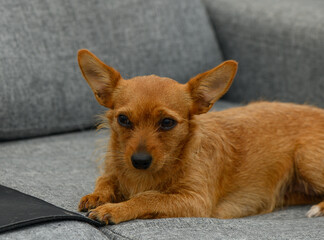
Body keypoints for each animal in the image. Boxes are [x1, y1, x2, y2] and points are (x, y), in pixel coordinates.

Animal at [76, 49, 324, 225]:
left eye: (167, 122)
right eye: (123, 120)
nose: (139, 161)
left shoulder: (195, 201)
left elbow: (148, 197)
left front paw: (114, 209)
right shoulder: (114, 170)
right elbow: (106, 179)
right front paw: (98, 195)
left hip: (305, 158)